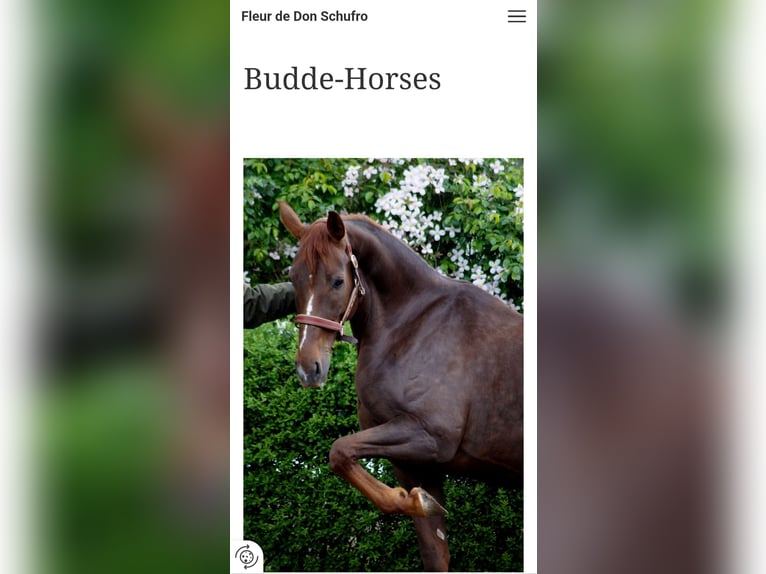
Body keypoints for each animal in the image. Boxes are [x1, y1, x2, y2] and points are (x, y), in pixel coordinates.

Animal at [278, 201, 524, 571]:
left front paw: (413, 500)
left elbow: (339, 450)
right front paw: (416, 501)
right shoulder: (415, 463)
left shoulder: (430, 437)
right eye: (293, 278)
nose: (309, 369)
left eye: (337, 281)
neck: (413, 327)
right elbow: (434, 551)